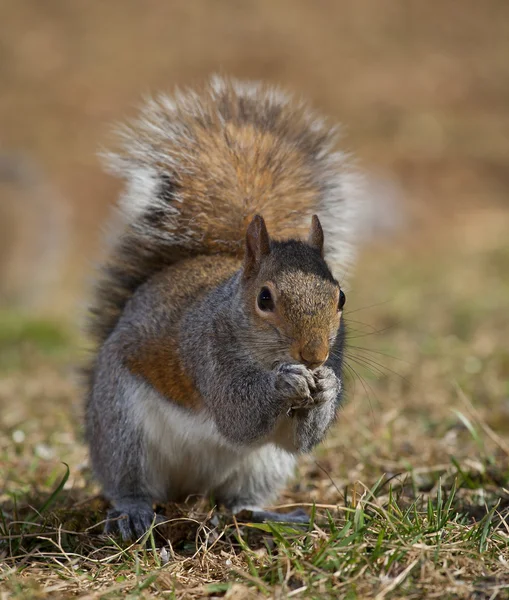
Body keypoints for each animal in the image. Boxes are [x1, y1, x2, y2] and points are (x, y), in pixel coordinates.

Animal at [86, 75, 366, 540]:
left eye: (341, 297)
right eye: (265, 298)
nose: (314, 355)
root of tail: (189, 490)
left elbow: (299, 439)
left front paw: (326, 385)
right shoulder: (205, 351)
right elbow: (237, 415)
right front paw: (284, 382)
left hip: (263, 465)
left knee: (237, 501)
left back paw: (268, 514)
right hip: (121, 427)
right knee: (129, 481)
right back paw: (134, 511)